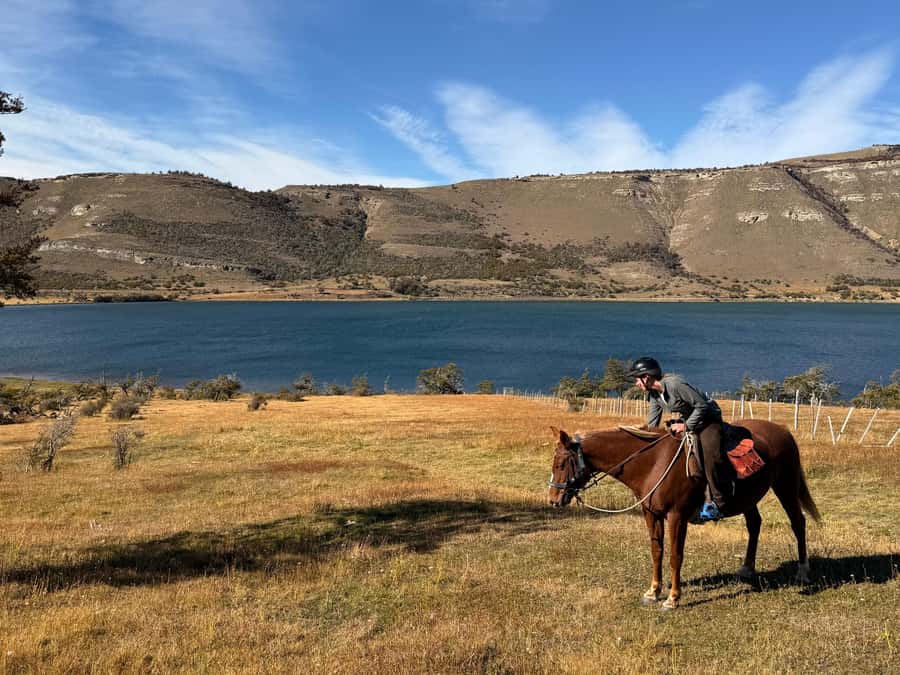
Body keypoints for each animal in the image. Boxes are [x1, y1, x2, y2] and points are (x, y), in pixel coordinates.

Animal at [547, 421, 821, 609]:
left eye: (560, 464)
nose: (553, 499)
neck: (652, 463)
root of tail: (784, 431)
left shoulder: (677, 516)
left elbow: (674, 556)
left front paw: (672, 599)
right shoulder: (651, 514)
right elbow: (656, 552)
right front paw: (653, 591)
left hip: (786, 486)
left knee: (798, 524)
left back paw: (803, 572)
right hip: (748, 497)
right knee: (755, 524)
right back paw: (746, 568)